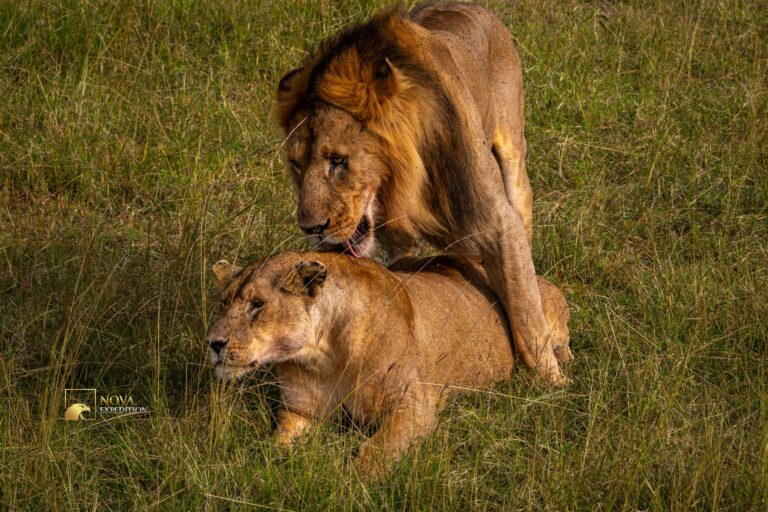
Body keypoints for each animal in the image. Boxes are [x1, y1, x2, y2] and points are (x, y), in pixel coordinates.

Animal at [205, 251, 572, 476]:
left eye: (257, 304)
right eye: (223, 302)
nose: (213, 343)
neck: (323, 355)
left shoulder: (413, 405)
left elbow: (376, 451)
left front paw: (349, 482)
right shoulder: (299, 411)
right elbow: (277, 444)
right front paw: (270, 464)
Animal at [274, 3, 569, 385]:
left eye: (338, 161)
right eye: (296, 165)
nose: (311, 229)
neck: (401, 185)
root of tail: (477, 8)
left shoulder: (497, 222)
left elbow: (525, 310)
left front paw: (555, 385)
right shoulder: (399, 241)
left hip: (512, 150)